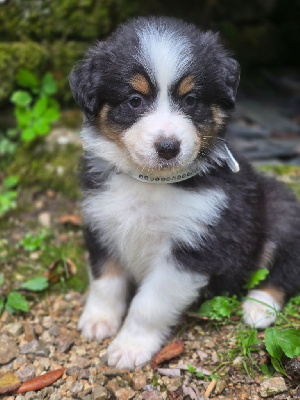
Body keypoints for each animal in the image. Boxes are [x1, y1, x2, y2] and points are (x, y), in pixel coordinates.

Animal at [68, 17, 300, 370]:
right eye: (134, 100)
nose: (168, 147)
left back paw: (259, 306)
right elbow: (105, 281)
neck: (151, 183)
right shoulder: (101, 223)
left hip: (281, 210)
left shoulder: (191, 250)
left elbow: (148, 305)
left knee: (287, 269)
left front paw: (130, 347)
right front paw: (98, 320)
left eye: (190, 100)